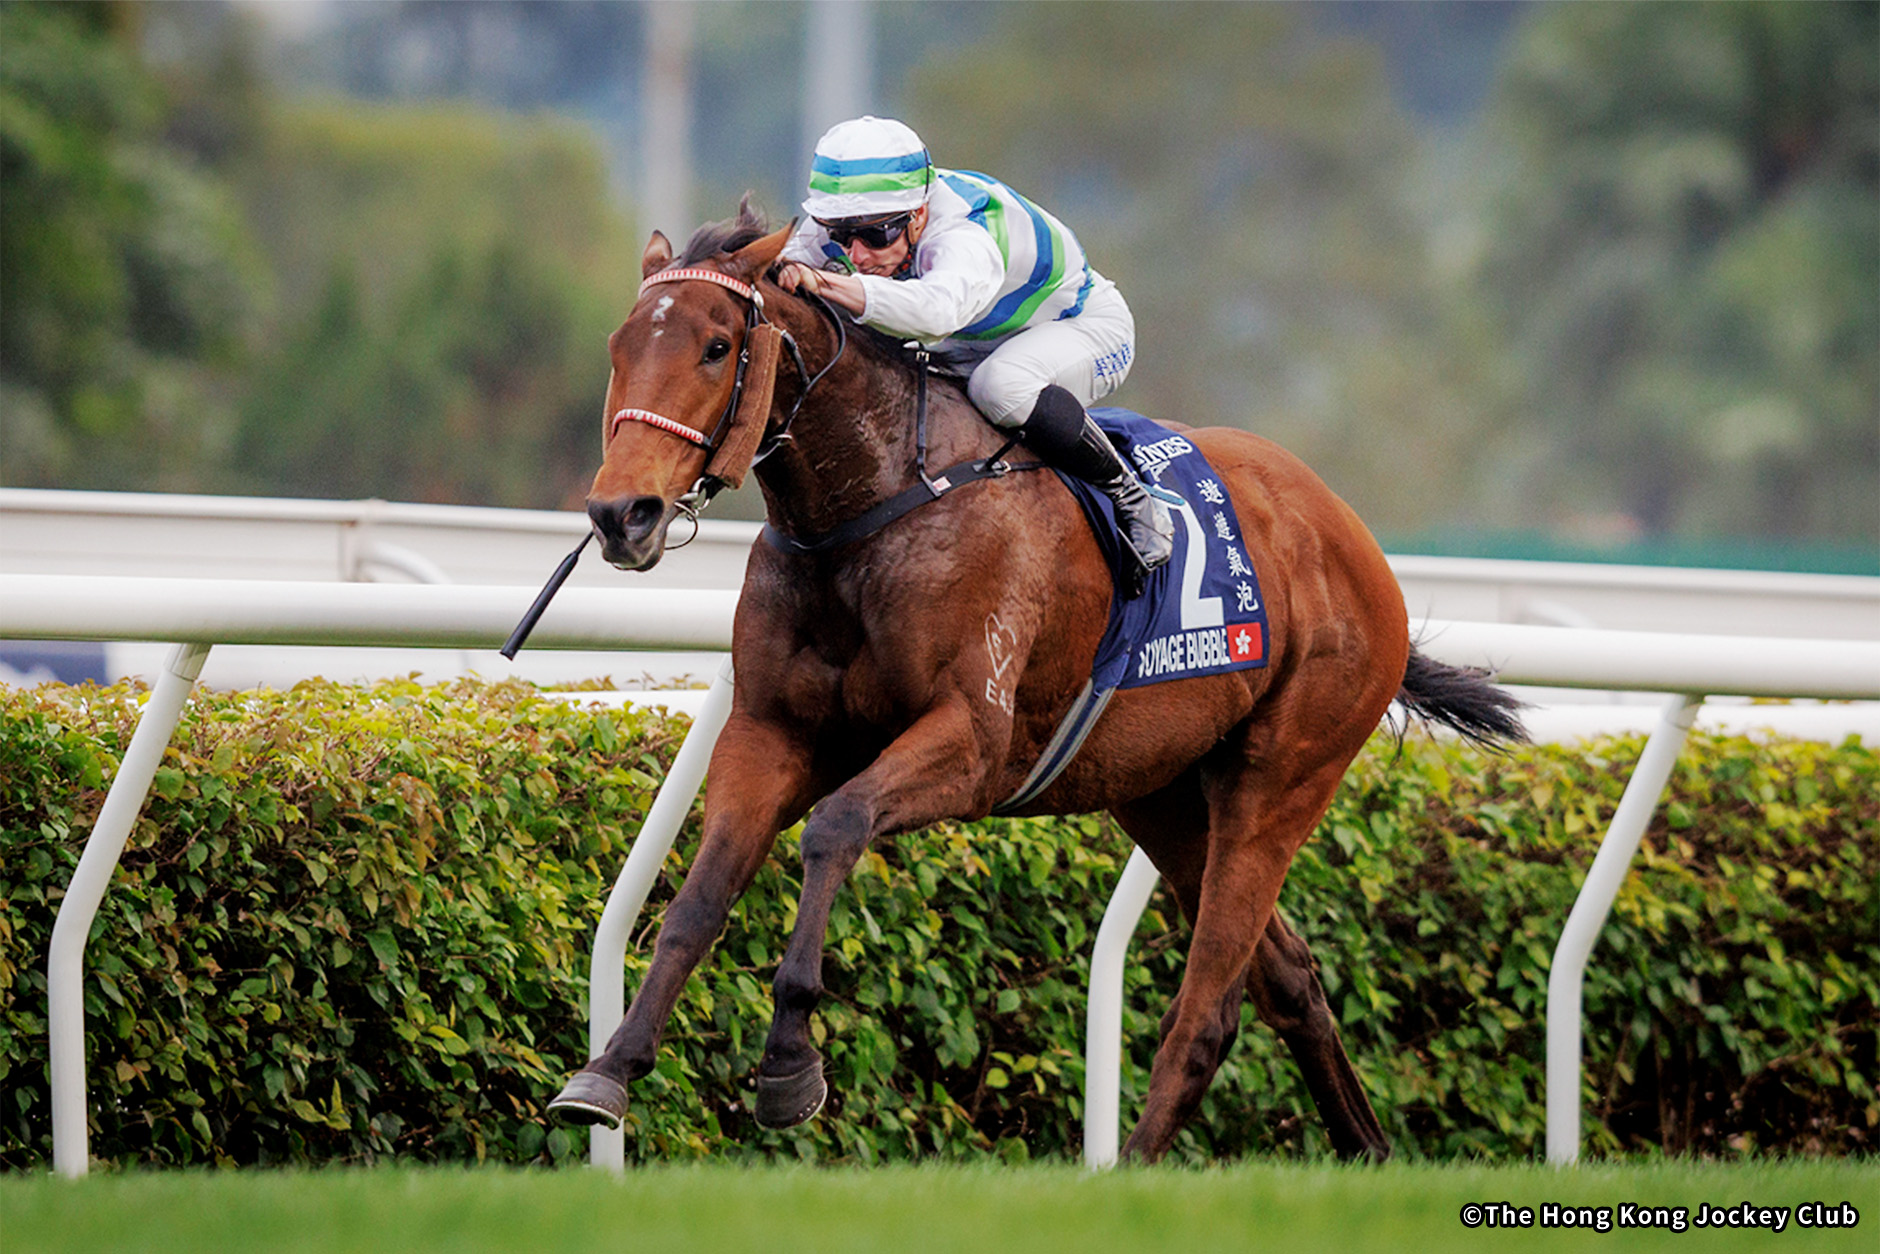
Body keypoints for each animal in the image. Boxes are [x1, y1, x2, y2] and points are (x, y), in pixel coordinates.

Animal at [548, 200, 1526, 1163]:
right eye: (618, 347)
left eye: (717, 347)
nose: (621, 514)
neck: (873, 505)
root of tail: (1350, 535)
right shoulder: (770, 733)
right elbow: (698, 898)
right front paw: (608, 1071)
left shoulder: (972, 743)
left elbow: (836, 827)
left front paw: (790, 1064)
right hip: (1162, 792)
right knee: (1288, 980)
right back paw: (1364, 1149)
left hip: (1282, 778)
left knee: (1208, 1011)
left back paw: (1133, 1167)